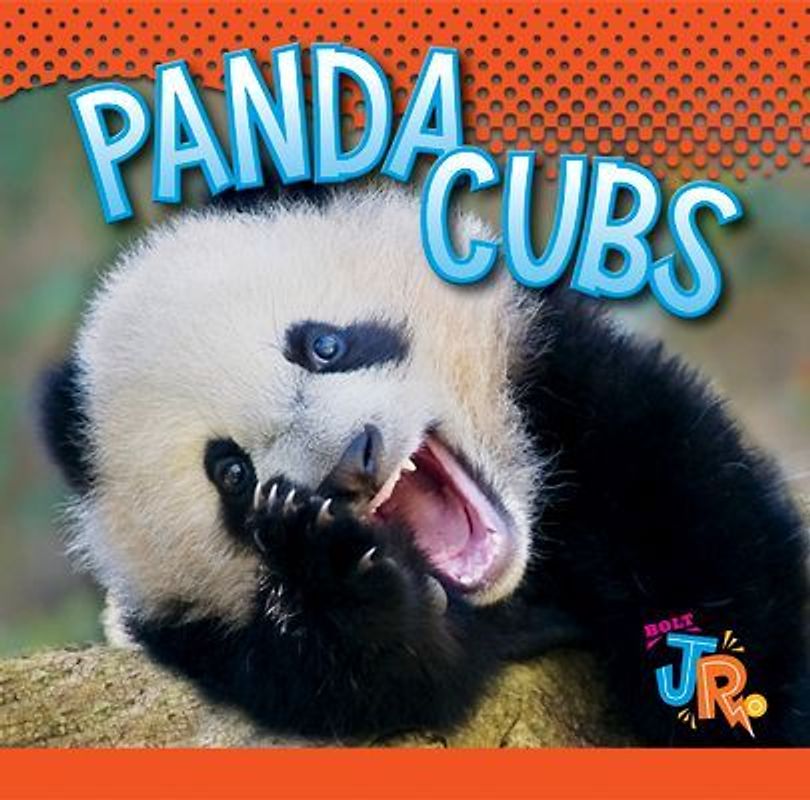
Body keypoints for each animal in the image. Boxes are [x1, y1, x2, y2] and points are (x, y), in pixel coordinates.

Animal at [38, 183, 809, 745]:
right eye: (230, 472)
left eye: (324, 346)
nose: (352, 462)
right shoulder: (200, 638)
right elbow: (382, 686)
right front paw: (331, 576)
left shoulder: (576, 390)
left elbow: (707, 543)